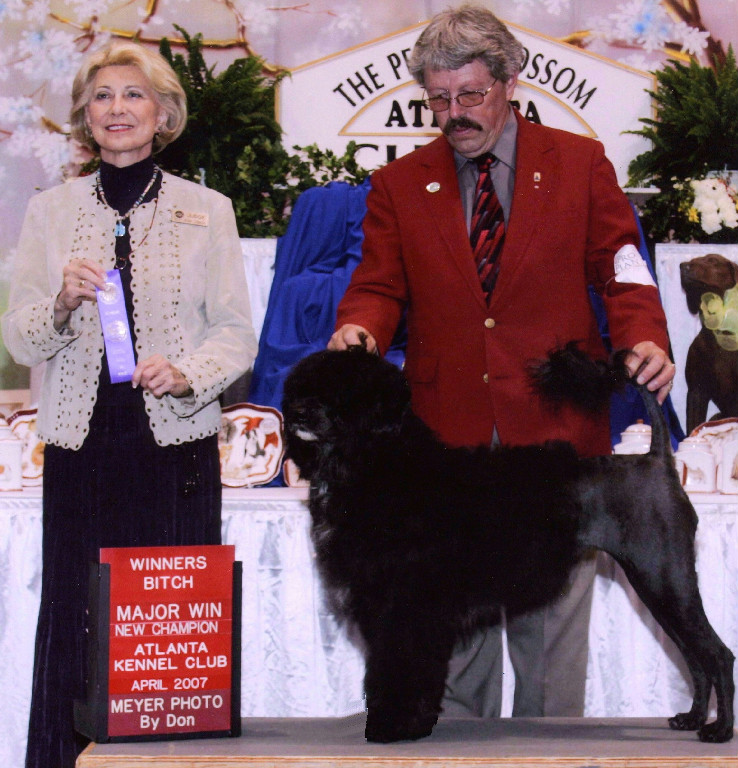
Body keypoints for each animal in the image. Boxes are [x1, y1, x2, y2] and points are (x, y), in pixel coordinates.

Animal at [280, 346, 732, 744]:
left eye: (344, 386)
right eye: (303, 385)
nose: (297, 412)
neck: (384, 462)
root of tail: (656, 460)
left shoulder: (407, 605)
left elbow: (401, 667)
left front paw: (394, 726)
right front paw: (413, 722)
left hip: (664, 577)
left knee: (717, 654)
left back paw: (719, 731)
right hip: (658, 585)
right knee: (695, 656)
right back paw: (692, 719)